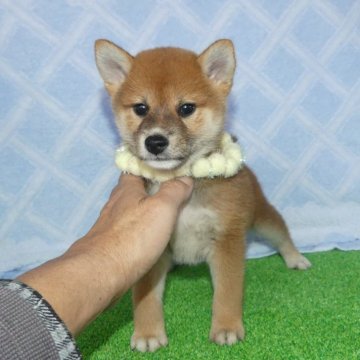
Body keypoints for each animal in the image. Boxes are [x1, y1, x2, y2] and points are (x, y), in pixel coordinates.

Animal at [95, 38, 312, 352]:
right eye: (141, 108)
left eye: (186, 108)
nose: (155, 142)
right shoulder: (152, 249)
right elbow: (146, 296)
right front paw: (148, 332)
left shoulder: (227, 239)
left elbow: (227, 291)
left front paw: (227, 327)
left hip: (263, 220)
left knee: (282, 236)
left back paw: (296, 259)